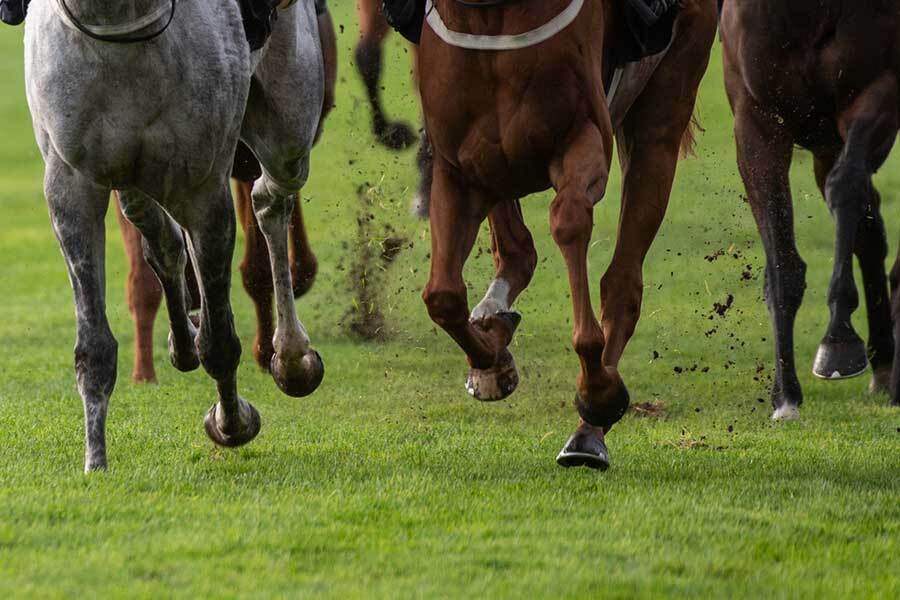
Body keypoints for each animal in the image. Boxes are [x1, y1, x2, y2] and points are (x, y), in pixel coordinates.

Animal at [418, 0, 720, 468]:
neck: (491, 12)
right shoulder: (456, 166)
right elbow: (443, 296)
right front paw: (494, 362)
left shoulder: (582, 134)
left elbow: (569, 220)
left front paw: (598, 392)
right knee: (515, 247)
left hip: (667, 104)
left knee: (623, 282)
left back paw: (589, 431)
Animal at [720, 0, 900, 418]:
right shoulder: (757, 119)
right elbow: (782, 261)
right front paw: (785, 394)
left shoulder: (880, 87)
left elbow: (845, 186)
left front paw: (838, 341)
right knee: (869, 232)